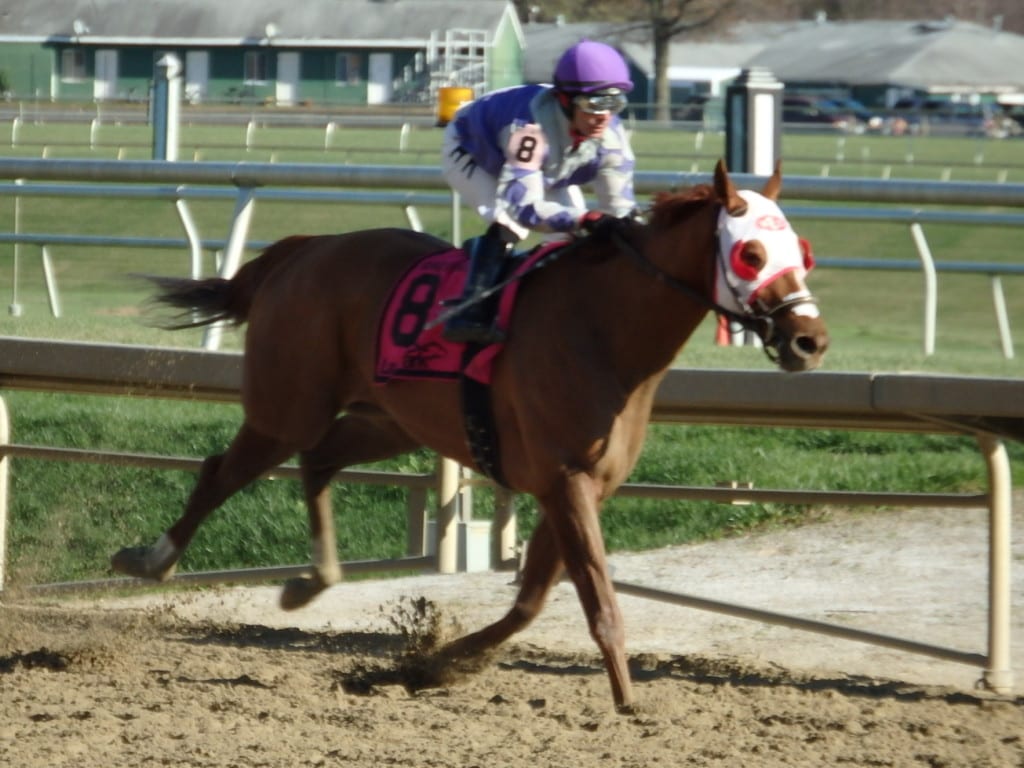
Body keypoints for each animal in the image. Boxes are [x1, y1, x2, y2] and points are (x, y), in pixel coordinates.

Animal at [114, 160, 831, 716]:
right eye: (750, 253)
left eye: (803, 252)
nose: (810, 341)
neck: (605, 331)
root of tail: (304, 249)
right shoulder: (565, 482)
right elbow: (598, 603)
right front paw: (629, 702)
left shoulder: (572, 488)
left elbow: (530, 604)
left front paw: (429, 666)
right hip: (287, 406)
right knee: (222, 472)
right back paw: (152, 560)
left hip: (387, 420)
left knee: (318, 462)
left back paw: (311, 580)